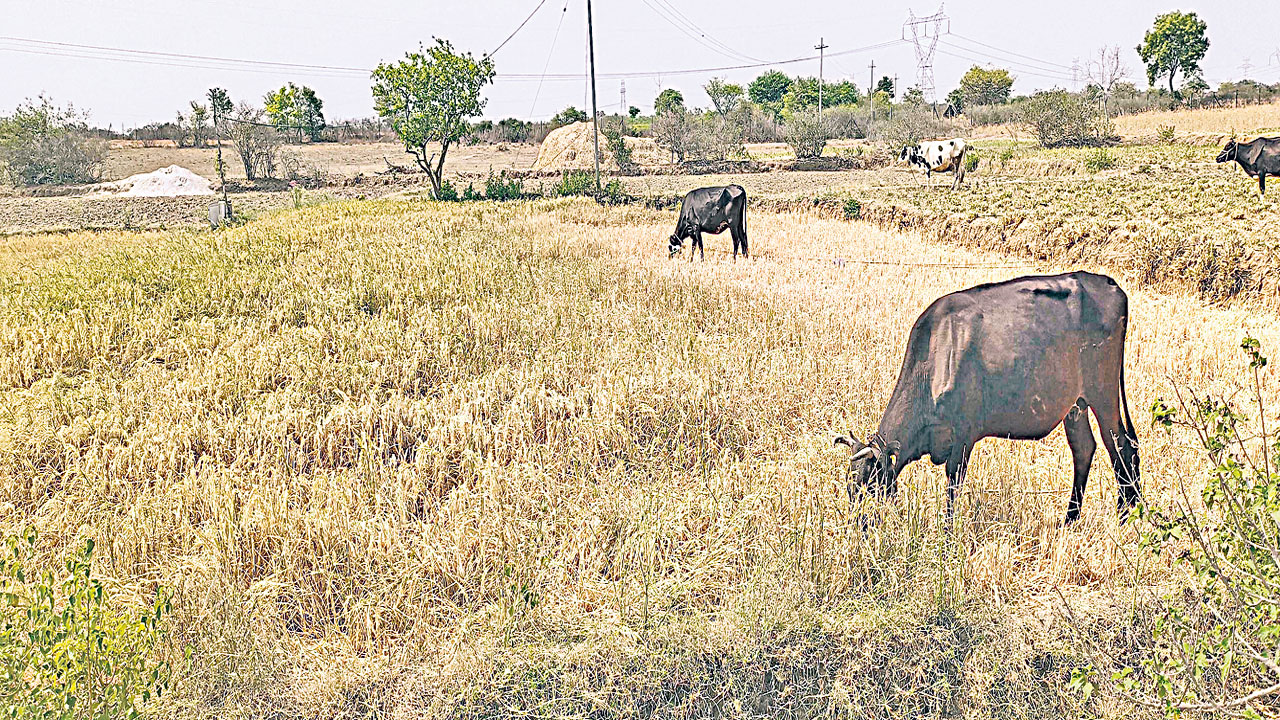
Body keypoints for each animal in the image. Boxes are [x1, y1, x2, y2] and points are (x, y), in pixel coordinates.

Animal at [839, 269, 1141, 520]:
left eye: (869, 487)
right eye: (850, 489)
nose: (857, 528)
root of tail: (1108, 283)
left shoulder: (963, 436)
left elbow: (952, 488)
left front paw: (947, 539)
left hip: (1103, 393)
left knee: (1121, 447)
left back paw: (1124, 517)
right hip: (1075, 404)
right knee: (1084, 448)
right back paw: (1069, 521)